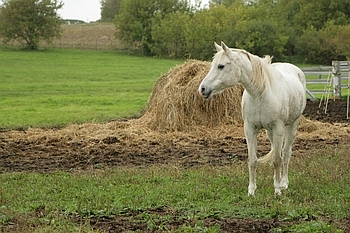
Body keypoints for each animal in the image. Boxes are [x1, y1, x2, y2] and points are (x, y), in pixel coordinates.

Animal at [200, 41, 306, 195]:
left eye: (221, 66)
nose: (202, 89)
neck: (259, 94)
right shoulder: (250, 129)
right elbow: (253, 160)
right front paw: (251, 191)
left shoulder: (278, 128)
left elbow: (277, 160)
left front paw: (277, 191)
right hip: (269, 132)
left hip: (292, 125)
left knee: (286, 153)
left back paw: (284, 183)